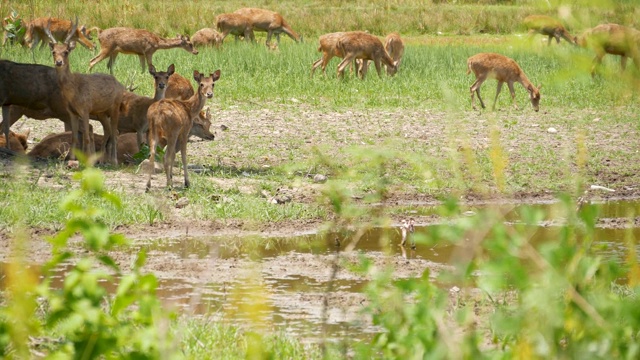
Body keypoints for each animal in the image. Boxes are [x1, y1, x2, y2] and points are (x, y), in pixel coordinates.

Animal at [45, 20, 125, 165]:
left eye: (66, 52)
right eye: (53, 52)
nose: (59, 62)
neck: (73, 92)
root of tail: (120, 85)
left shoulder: (85, 109)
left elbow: (87, 136)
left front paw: (87, 161)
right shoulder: (72, 112)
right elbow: (74, 137)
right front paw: (71, 159)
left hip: (115, 106)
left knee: (115, 132)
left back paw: (114, 161)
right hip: (101, 112)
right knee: (109, 131)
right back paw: (105, 160)